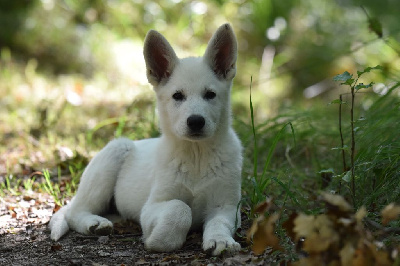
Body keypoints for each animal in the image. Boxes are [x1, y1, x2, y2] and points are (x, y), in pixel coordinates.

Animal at [50, 23, 244, 256]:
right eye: (177, 96)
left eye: (210, 95)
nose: (196, 121)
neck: (196, 155)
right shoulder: (152, 206)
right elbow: (180, 208)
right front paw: (160, 240)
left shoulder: (227, 206)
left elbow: (219, 223)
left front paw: (220, 240)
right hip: (112, 156)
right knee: (75, 210)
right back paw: (94, 223)